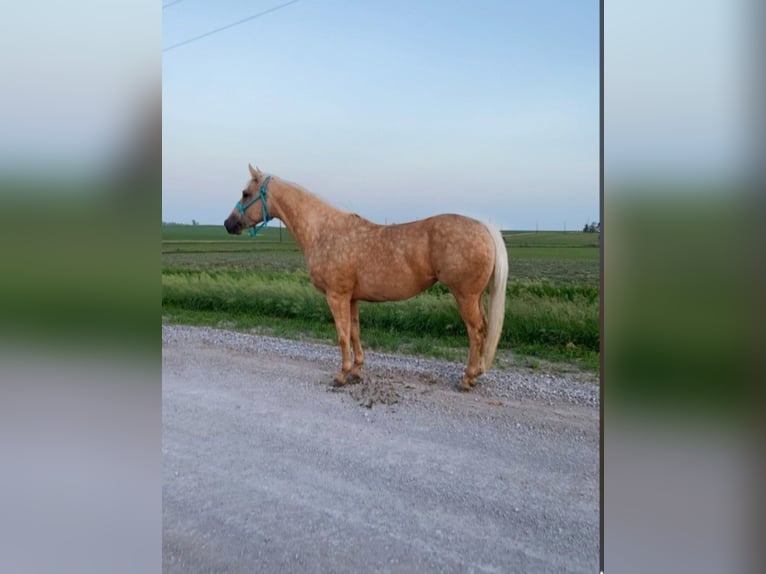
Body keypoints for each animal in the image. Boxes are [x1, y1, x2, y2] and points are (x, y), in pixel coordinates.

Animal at [224, 166, 510, 392]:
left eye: (245, 193)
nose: (228, 224)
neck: (324, 231)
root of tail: (484, 227)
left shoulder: (336, 296)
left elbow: (342, 336)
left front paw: (341, 376)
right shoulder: (351, 298)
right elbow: (354, 332)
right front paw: (356, 371)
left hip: (465, 296)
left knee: (476, 332)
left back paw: (467, 379)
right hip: (476, 297)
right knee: (484, 330)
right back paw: (476, 374)